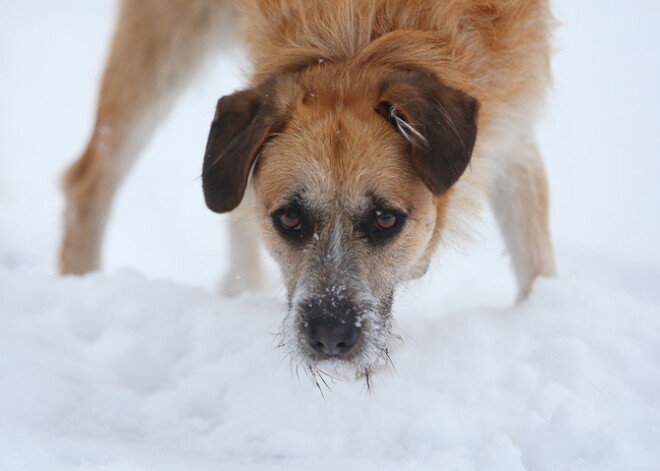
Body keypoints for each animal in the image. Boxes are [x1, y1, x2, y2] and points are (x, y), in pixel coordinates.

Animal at [60, 0, 556, 382]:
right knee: (89, 179)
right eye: (290, 218)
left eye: (385, 219)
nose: (330, 337)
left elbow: (536, 261)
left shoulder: (512, 131)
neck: (364, 38)